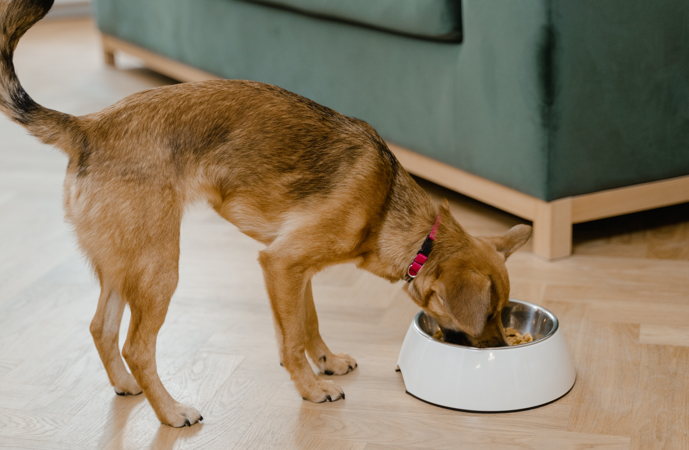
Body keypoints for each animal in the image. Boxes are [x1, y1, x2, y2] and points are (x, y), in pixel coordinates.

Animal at [0, 0, 532, 428]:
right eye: (489, 314)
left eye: (504, 312)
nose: (502, 352)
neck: (391, 211)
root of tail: (87, 127)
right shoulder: (282, 263)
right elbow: (292, 337)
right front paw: (312, 388)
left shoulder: (296, 269)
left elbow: (305, 324)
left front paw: (325, 361)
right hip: (159, 267)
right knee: (137, 346)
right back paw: (171, 412)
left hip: (121, 264)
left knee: (101, 328)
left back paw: (127, 385)